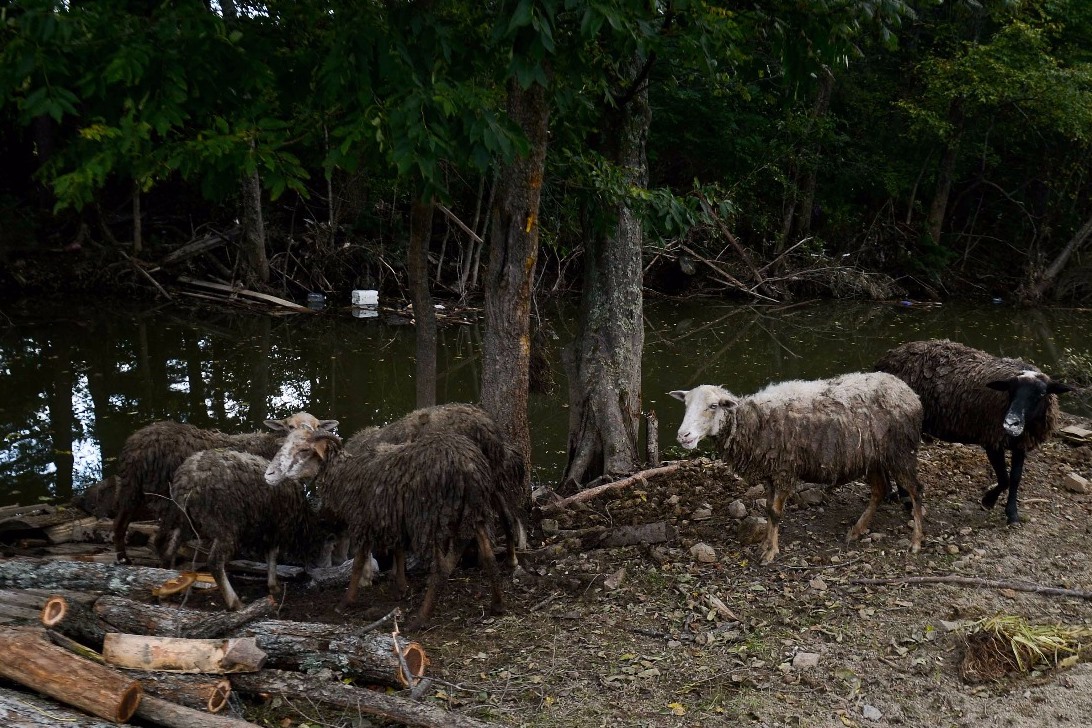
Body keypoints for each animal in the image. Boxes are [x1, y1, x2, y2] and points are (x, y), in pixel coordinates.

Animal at [111, 414, 336, 563]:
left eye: (317, 426)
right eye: (289, 426)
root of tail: (135, 448)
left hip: (132, 489)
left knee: (119, 524)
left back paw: (124, 559)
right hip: (161, 493)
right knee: (159, 535)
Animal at [156, 436, 338, 611]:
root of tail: (188, 484)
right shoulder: (277, 525)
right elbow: (272, 554)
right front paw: (274, 586)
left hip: (184, 521)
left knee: (170, 550)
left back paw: (170, 587)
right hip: (225, 523)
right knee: (214, 562)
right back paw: (234, 602)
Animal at [268, 427, 515, 628]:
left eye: (304, 450)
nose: (269, 475)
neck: (344, 474)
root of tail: (469, 467)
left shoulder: (364, 520)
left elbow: (358, 564)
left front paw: (346, 602)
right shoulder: (393, 517)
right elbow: (398, 551)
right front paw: (401, 588)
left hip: (432, 518)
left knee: (440, 568)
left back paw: (420, 619)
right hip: (474, 511)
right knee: (488, 557)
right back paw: (498, 604)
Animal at [668, 373, 926, 567]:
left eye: (713, 406)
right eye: (685, 405)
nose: (683, 436)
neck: (753, 422)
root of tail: (909, 392)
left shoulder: (784, 470)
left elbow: (775, 512)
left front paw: (770, 552)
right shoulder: (770, 473)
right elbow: (768, 509)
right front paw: (765, 543)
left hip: (901, 452)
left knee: (915, 490)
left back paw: (916, 541)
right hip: (871, 457)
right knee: (880, 490)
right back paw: (856, 530)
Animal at [873, 338, 1070, 526]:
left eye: (1042, 393)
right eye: (1010, 391)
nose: (1011, 423)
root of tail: (884, 360)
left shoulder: (1020, 443)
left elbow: (1014, 478)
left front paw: (1012, 514)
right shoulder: (992, 441)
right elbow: (1004, 478)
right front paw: (988, 501)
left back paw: (894, 494)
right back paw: (904, 499)